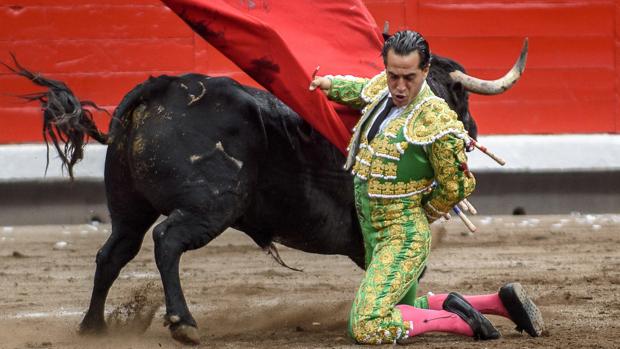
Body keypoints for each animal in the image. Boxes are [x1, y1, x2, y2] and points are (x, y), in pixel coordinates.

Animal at [6, 42, 528, 344]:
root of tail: (162, 88)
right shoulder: (368, 243)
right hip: (211, 206)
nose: (466, 133)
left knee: (113, 253)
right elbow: (412, 283)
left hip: (128, 207)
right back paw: (183, 322)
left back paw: (93, 327)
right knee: (167, 241)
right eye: (458, 99)